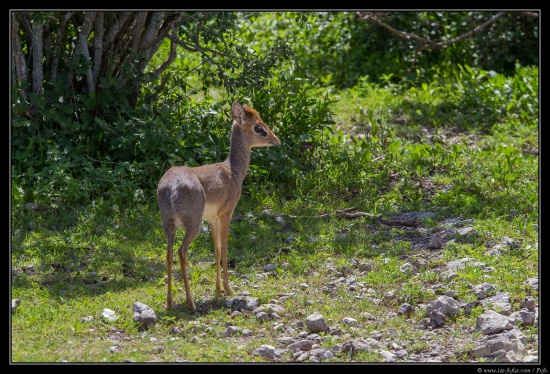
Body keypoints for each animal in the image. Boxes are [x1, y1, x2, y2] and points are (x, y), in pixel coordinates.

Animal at [158, 102, 280, 312]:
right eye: (259, 127)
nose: (276, 140)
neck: (233, 172)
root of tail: (172, 187)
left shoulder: (212, 219)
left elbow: (216, 248)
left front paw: (218, 290)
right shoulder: (226, 214)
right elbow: (225, 247)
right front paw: (228, 289)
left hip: (169, 224)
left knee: (168, 253)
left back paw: (170, 302)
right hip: (192, 224)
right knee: (181, 252)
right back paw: (191, 303)